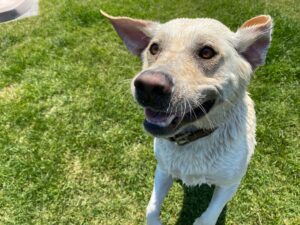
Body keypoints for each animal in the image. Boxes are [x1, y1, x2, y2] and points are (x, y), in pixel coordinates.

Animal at [102, 11, 274, 225]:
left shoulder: (229, 185)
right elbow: (151, 208)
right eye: (154, 48)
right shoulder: (163, 169)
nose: (148, 86)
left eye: (207, 52)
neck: (193, 139)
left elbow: (207, 217)